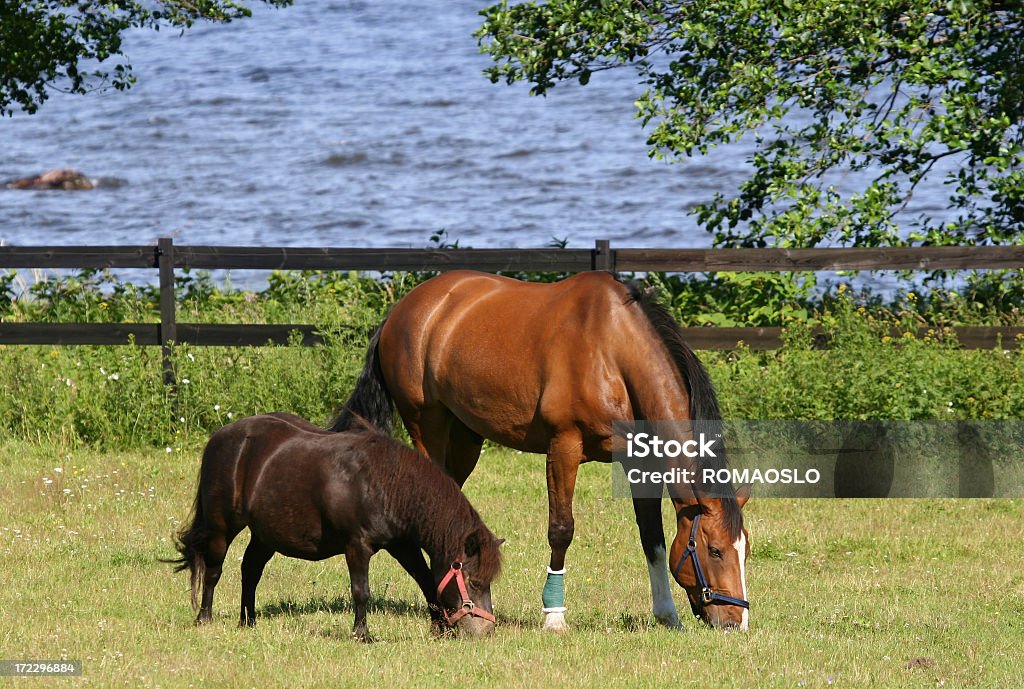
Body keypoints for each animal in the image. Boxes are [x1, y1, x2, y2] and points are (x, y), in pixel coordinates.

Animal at [164, 409, 503, 638]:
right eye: (474, 581)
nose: (486, 632)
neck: (385, 483)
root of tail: (220, 436)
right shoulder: (357, 546)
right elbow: (361, 591)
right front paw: (362, 635)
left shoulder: (403, 545)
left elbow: (427, 582)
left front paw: (439, 628)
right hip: (221, 526)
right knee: (213, 570)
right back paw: (204, 618)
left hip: (265, 534)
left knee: (251, 570)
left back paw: (248, 621)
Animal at [331, 268, 749, 630]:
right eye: (714, 550)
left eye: (745, 549)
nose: (736, 622)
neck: (612, 351)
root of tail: (402, 309)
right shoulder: (563, 447)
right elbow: (561, 530)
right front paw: (554, 616)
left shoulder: (638, 458)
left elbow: (653, 536)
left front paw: (667, 615)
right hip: (426, 424)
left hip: (466, 436)